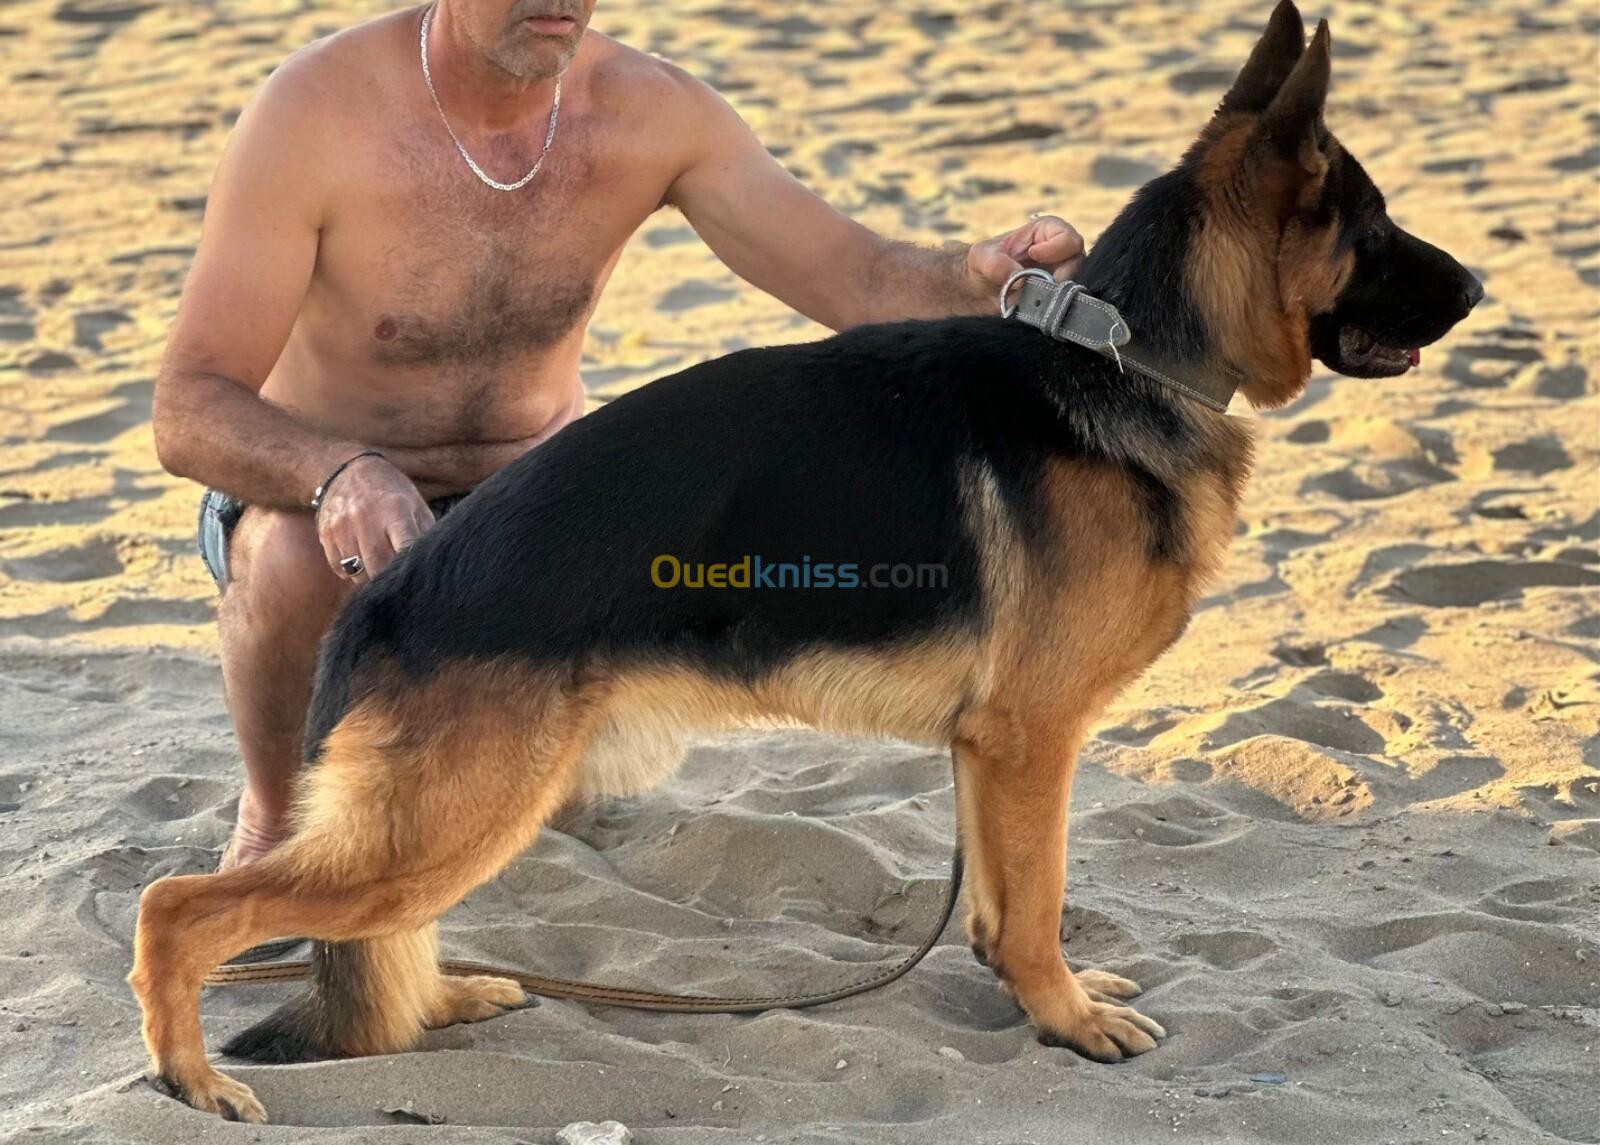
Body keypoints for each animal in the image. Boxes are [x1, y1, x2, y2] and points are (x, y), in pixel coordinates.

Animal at [129, 2, 1480, 1122]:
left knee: (369, 932)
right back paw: (191, 1076)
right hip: (454, 812)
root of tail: (391, 587)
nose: (1474, 283)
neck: (1124, 353)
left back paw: (442, 996)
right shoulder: (1032, 738)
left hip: (455, 814)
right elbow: (1039, 897)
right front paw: (1065, 1017)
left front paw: (1034, 1001)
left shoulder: (988, 750)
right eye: (1372, 229)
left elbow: (1001, 907)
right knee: (181, 909)